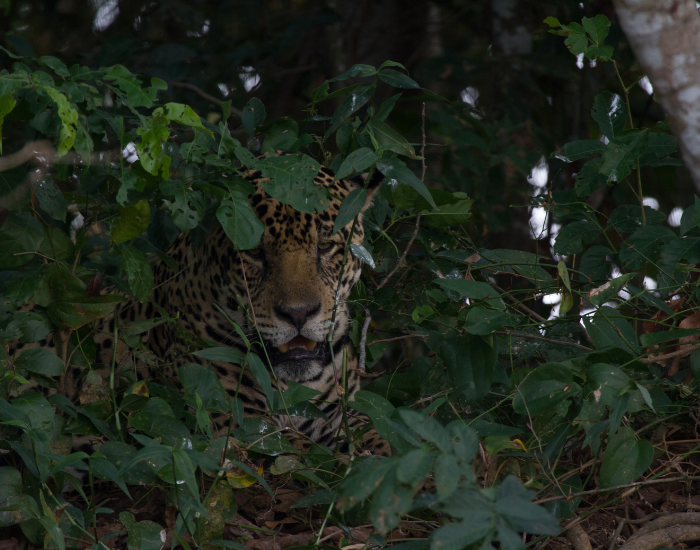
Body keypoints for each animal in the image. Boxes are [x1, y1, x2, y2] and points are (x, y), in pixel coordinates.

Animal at [5, 155, 390, 456]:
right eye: (253, 252)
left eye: (325, 246)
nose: (298, 314)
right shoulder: (237, 426)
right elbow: (317, 458)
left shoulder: (338, 413)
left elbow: (380, 433)